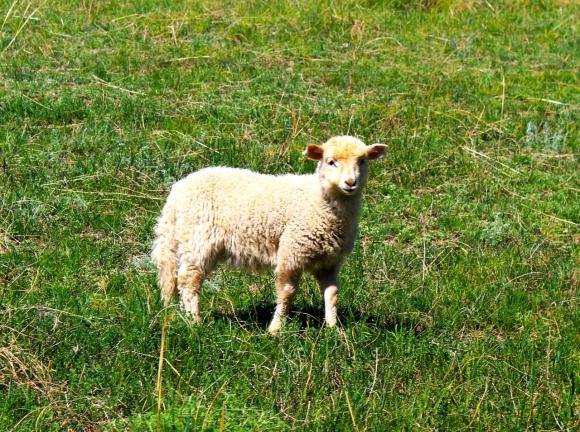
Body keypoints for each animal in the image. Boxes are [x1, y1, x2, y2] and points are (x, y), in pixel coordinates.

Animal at [151, 135, 386, 334]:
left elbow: (332, 294)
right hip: (198, 240)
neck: (319, 201)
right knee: (188, 280)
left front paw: (333, 329)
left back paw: (182, 315)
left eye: (362, 161)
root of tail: (178, 190)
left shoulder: (329, 261)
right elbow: (287, 291)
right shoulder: (291, 252)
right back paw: (194, 322)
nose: (350, 182)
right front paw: (276, 329)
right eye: (330, 161)